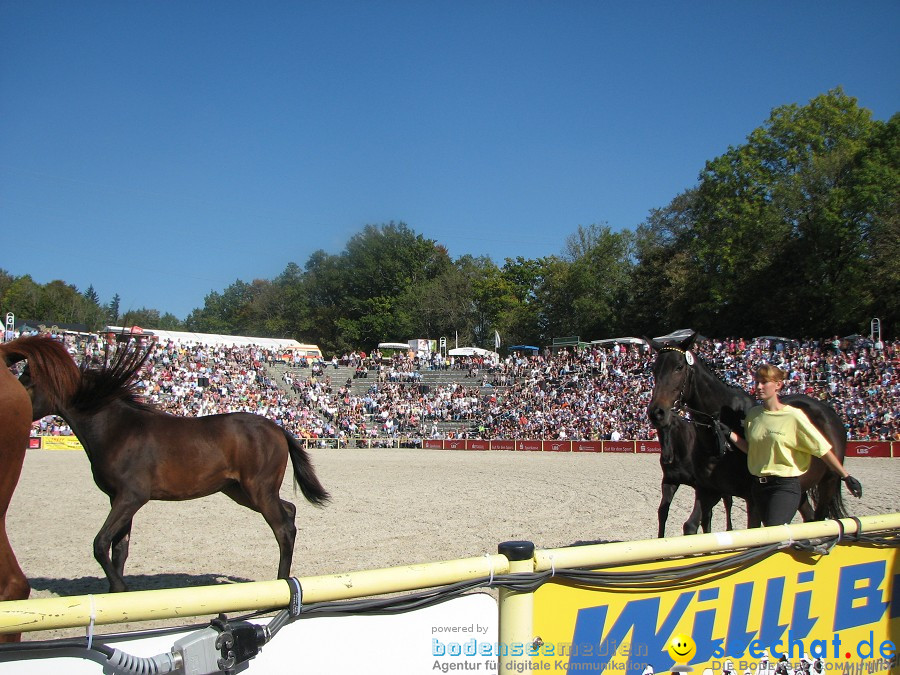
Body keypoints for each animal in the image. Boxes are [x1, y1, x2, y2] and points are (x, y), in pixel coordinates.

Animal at [22, 344, 330, 592]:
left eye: (27, 382)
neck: (118, 430)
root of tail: (278, 428)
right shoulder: (118, 499)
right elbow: (119, 547)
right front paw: (116, 593)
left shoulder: (131, 497)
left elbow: (100, 544)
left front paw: (120, 587)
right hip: (241, 491)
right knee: (290, 511)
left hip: (259, 490)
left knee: (283, 529)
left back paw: (281, 582)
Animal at [648, 332, 852, 524]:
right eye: (654, 369)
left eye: (678, 367)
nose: (656, 412)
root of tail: (828, 412)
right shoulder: (708, 490)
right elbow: (691, 526)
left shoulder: (753, 499)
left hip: (829, 482)